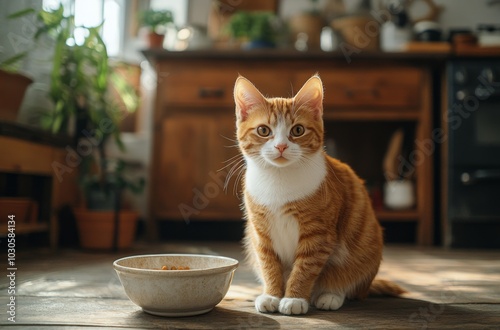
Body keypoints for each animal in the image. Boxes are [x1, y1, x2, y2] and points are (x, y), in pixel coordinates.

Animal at [234, 74, 406, 314]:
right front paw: (272, 294)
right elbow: (269, 265)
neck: (279, 179)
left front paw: (294, 298)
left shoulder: (318, 234)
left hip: (365, 248)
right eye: (263, 131)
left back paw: (330, 295)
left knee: (350, 285)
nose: (280, 147)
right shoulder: (260, 233)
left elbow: (304, 268)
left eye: (297, 130)